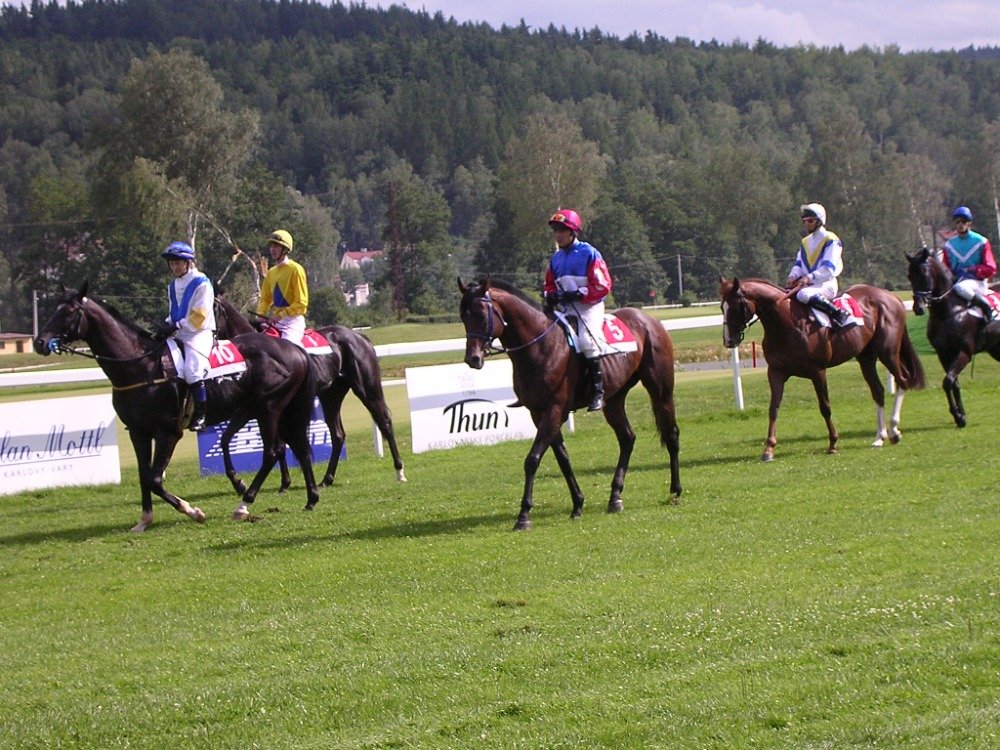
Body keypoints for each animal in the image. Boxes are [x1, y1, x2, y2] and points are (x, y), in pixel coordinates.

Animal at [213, 294, 408, 488]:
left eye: (214, 309)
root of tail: (360, 336)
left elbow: (278, 445)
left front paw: (283, 481)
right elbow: (234, 439)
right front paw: (279, 482)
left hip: (367, 388)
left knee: (385, 423)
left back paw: (399, 471)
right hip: (331, 395)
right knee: (338, 435)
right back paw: (326, 479)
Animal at [458, 280, 680, 532]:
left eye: (481, 314)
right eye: (463, 316)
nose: (473, 359)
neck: (541, 346)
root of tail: (649, 319)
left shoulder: (554, 410)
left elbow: (532, 459)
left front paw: (524, 515)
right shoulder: (538, 413)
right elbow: (563, 458)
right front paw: (578, 504)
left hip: (661, 390)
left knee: (671, 433)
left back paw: (675, 490)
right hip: (613, 400)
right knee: (627, 438)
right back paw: (615, 497)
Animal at [720, 278, 920, 462]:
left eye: (736, 306)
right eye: (722, 307)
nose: (728, 341)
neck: (787, 325)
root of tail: (890, 296)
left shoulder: (818, 372)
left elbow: (825, 407)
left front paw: (833, 443)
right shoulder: (776, 372)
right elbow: (773, 408)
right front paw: (768, 449)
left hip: (888, 352)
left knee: (903, 381)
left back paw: (894, 431)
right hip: (866, 357)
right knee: (877, 390)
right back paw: (880, 437)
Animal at [908, 245, 1000, 426]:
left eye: (923, 273)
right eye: (909, 275)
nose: (918, 307)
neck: (948, 312)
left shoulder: (964, 353)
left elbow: (948, 381)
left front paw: (959, 415)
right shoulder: (944, 354)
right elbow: (953, 384)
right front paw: (960, 415)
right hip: (996, 349)